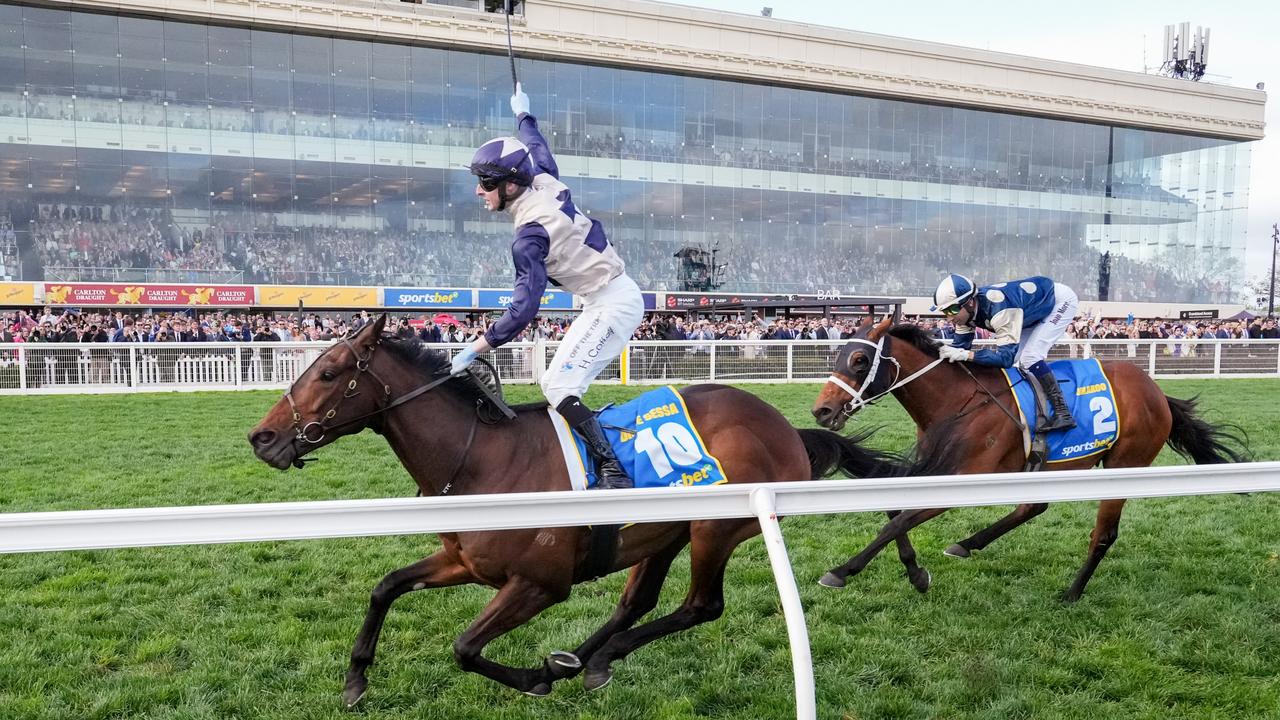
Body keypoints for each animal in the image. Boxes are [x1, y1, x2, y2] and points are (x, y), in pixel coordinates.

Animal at [252, 313, 952, 702]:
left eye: (328, 373)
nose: (262, 438)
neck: (482, 460)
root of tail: (784, 426)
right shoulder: (464, 564)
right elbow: (385, 586)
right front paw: (355, 681)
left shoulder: (538, 584)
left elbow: (465, 648)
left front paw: (532, 678)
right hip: (662, 532)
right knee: (636, 601)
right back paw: (582, 659)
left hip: (716, 526)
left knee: (700, 606)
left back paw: (587, 661)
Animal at [808, 317, 1249, 599]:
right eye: (838, 356)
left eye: (860, 360)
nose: (822, 411)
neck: (957, 401)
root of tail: (1158, 393)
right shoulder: (934, 467)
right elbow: (894, 512)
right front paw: (916, 573)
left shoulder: (966, 475)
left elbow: (899, 519)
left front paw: (842, 572)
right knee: (1033, 506)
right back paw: (968, 544)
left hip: (1125, 464)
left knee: (1103, 534)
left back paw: (1072, 593)